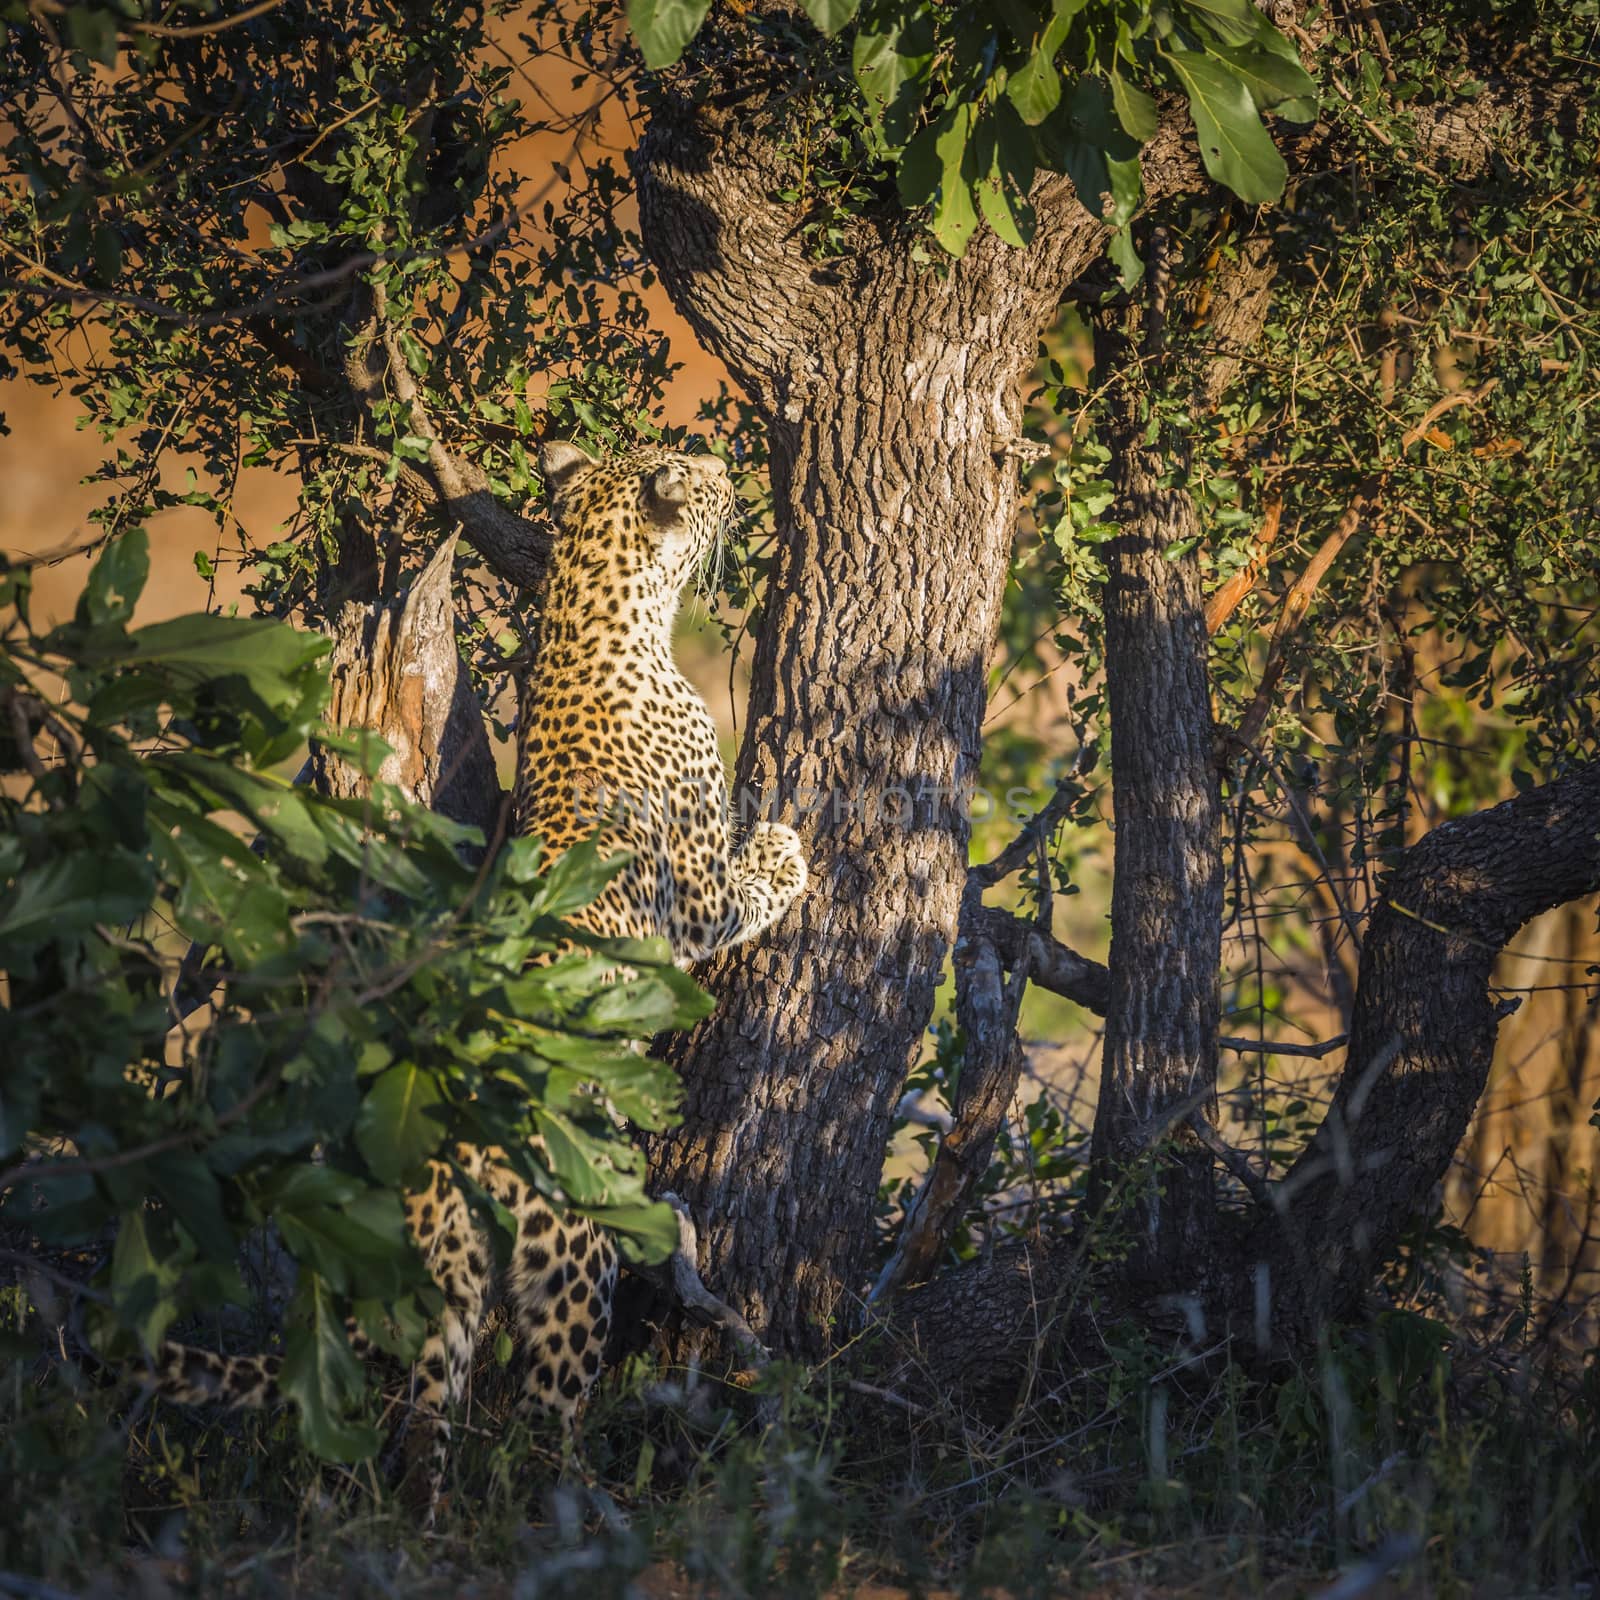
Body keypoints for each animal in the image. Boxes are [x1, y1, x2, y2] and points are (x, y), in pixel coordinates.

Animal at [154, 438, 806, 1523]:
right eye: (695, 471)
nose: (725, 471)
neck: (600, 605)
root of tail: (437, 1153)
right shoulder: (695, 898)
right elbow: (747, 885)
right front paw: (789, 849)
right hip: (571, 1251)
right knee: (546, 1412)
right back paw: (585, 1515)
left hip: (449, 1291)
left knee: (429, 1419)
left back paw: (424, 1523)